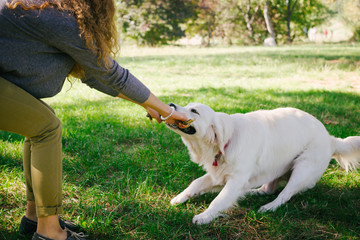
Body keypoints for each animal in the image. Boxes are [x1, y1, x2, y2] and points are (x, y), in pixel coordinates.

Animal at [166, 102, 360, 225]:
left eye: (194, 111)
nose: (170, 104)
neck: (227, 140)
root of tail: (331, 138)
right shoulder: (219, 174)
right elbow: (196, 183)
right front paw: (180, 197)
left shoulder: (236, 179)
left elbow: (219, 200)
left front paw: (204, 216)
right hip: (276, 166)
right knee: (268, 189)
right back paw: (251, 193)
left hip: (302, 169)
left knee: (284, 194)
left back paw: (268, 207)